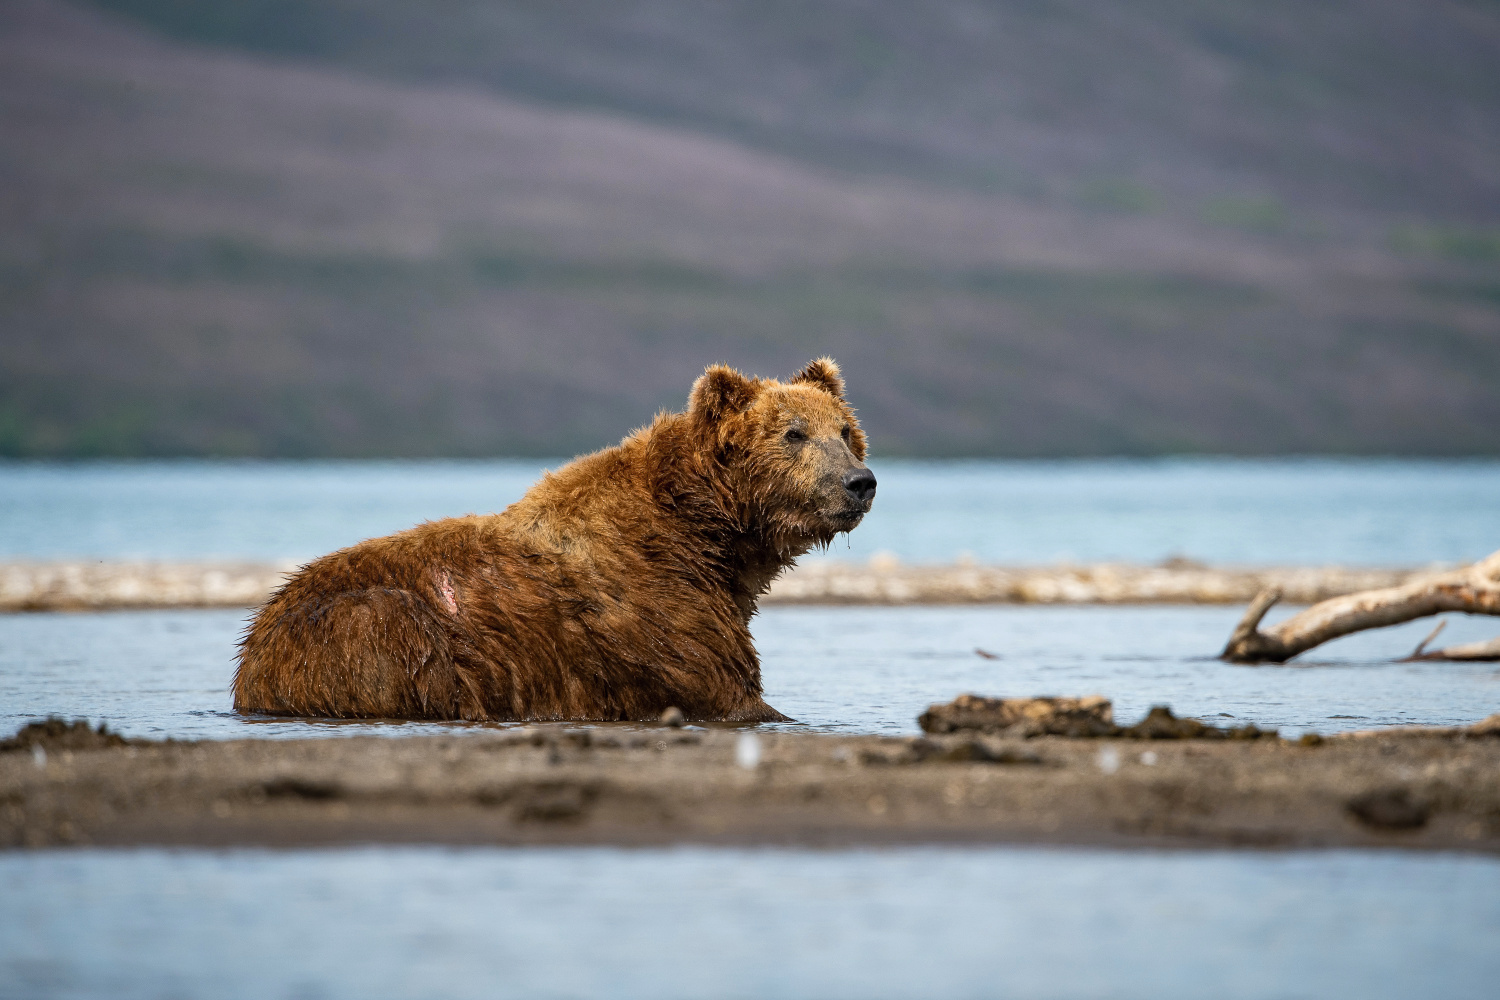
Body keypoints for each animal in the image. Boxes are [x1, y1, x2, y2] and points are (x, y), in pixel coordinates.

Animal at [228, 358, 876, 719]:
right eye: (794, 433)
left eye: (845, 430)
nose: (860, 482)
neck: (707, 532)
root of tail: (252, 655)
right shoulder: (658, 606)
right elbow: (723, 688)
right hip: (361, 633)